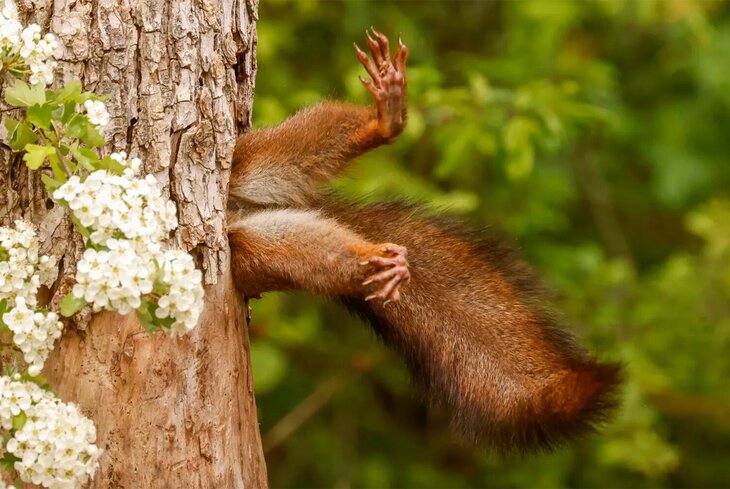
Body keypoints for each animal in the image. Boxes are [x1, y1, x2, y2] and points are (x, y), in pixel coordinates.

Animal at [228, 28, 620, 452]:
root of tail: (238, 211)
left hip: (247, 160)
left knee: (294, 148)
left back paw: (385, 120)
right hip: (252, 250)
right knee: (306, 253)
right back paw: (375, 260)